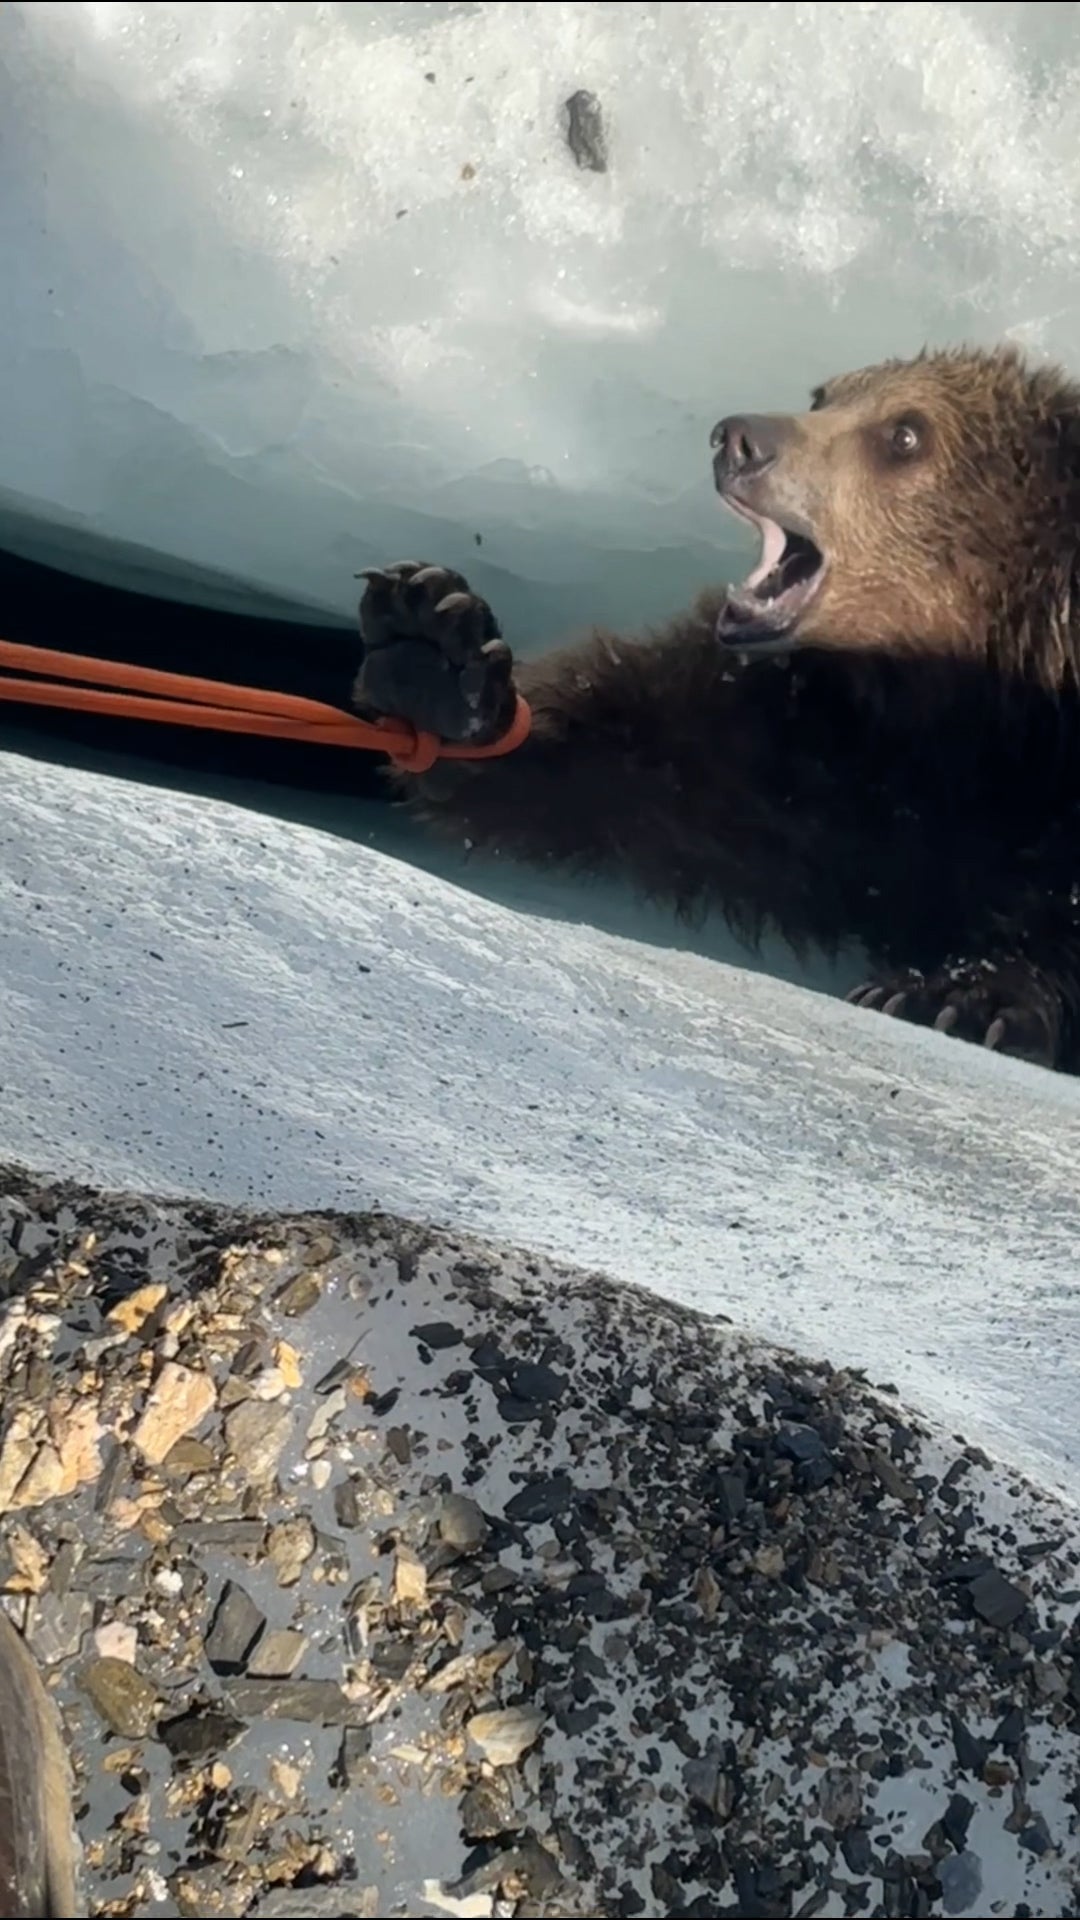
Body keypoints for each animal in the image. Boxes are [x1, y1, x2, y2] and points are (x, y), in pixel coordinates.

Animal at [352, 344, 1080, 1074]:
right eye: (824, 395)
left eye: (906, 433)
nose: (738, 438)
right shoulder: (804, 752)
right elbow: (630, 758)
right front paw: (441, 659)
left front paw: (959, 993)